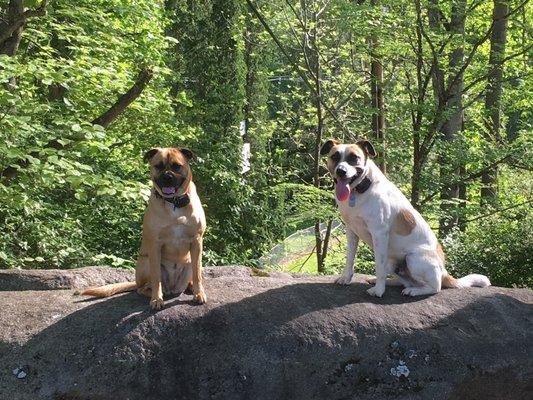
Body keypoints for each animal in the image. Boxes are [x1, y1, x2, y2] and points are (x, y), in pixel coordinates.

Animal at [82, 147, 207, 310]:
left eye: (177, 166)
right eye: (158, 166)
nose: (167, 177)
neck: (173, 203)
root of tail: (173, 288)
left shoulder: (197, 241)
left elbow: (197, 275)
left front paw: (199, 294)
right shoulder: (155, 244)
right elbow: (156, 278)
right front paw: (156, 299)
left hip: (190, 261)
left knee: (192, 276)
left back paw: (190, 287)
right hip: (145, 261)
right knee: (143, 288)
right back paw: (157, 293)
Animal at [320, 138, 490, 296]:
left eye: (354, 157)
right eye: (335, 156)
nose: (341, 171)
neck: (360, 190)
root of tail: (445, 272)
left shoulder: (379, 234)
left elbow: (378, 266)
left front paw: (379, 290)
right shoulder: (351, 231)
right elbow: (350, 258)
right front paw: (346, 278)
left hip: (413, 258)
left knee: (435, 287)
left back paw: (413, 291)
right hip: (393, 263)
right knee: (404, 280)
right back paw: (390, 282)